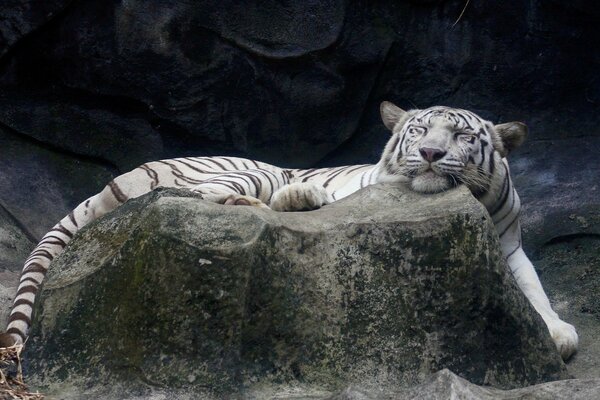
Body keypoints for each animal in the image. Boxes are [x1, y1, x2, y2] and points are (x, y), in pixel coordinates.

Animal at [0, 101, 576, 360]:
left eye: (459, 135)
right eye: (418, 132)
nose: (431, 154)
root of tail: (120, 176)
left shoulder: (509, 244)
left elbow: (533, 288)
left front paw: (557, 332)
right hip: (241, 170)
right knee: (189, 197)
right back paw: (292, 198)